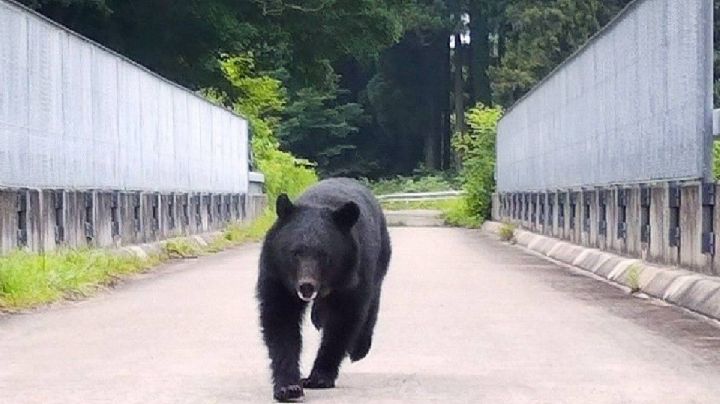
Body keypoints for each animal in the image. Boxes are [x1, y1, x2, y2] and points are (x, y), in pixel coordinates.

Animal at [256, 178, 392, 402]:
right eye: (295, 253)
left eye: (324, 255)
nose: (306, 285)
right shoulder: (276, 273)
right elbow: (280, 320)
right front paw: (288, 387)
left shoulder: (354, 273)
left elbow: (343, 322)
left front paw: (319, 377)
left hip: (380, 257)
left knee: (372, 299)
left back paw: (359, 349)